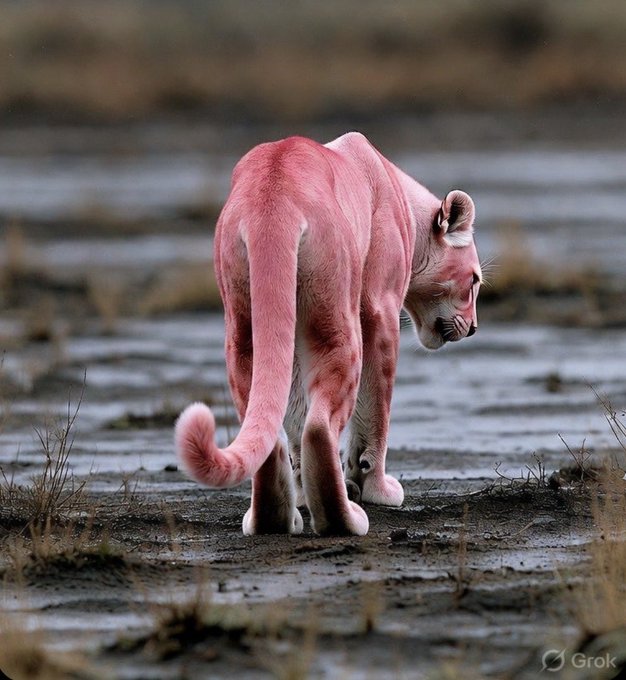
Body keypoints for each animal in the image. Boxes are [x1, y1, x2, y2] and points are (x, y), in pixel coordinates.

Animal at [175, 132, 480, 536]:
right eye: (474, 280)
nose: (473, 328)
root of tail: (273, 207)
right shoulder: (379, 307)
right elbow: (375, 405)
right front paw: (375, 488)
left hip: (247, 324)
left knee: (277, 424)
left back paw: (276, 519)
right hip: (335, 319)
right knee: (319, 427)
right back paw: (346, 518)